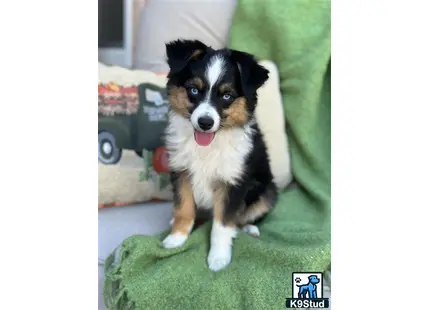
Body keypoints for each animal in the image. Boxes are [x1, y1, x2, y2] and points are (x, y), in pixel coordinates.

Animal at [162, 39, 278, 272]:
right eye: (193, 90)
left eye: (227, 96)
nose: (205, 123)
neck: (208, 145)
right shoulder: (181, 171)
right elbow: (184, 208)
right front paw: (177, 238)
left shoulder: (233, 182)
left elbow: (222, 225)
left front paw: (218, 259)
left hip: (267, 192)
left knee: (249, 215)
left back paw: (250, 229)